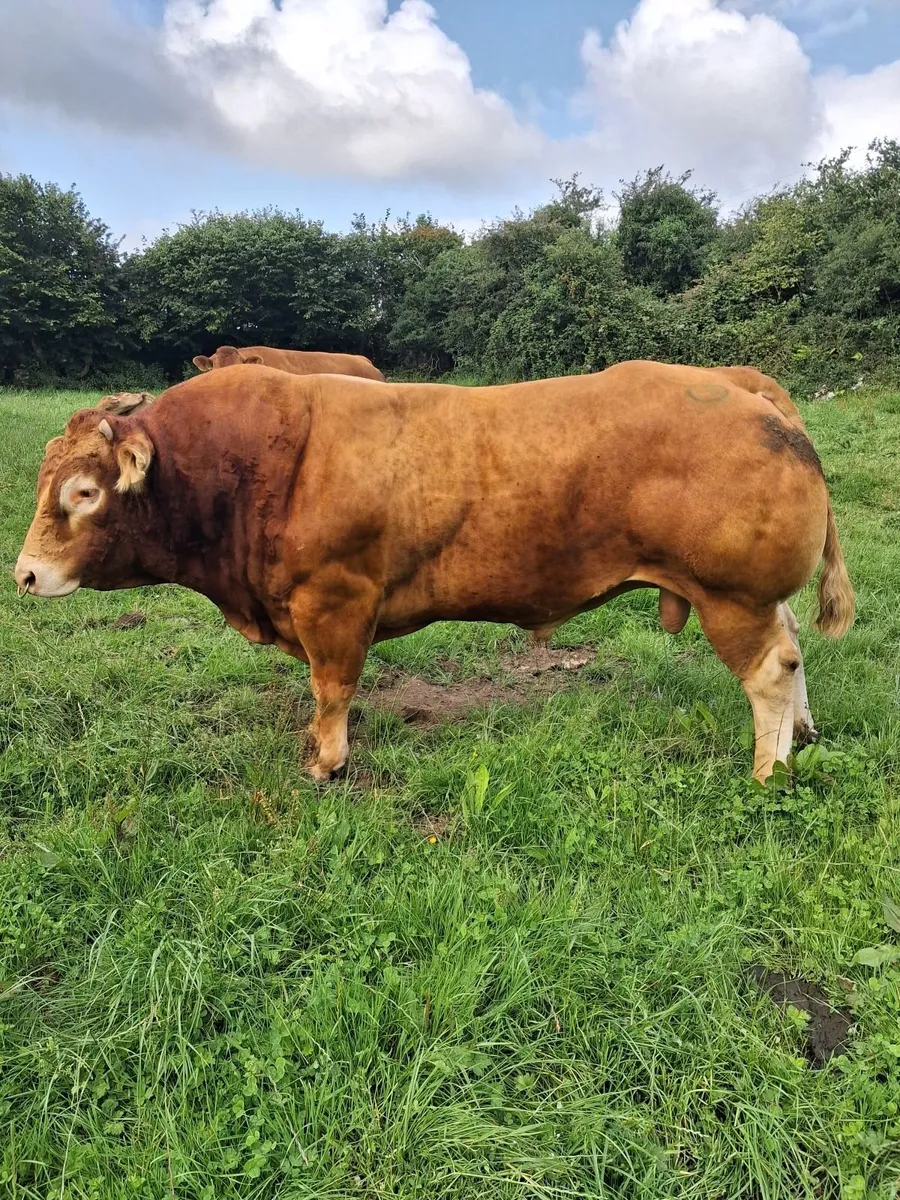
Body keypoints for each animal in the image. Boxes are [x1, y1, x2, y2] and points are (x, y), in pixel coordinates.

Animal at [14, 360, 854, 784]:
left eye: (83, 492)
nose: (22, 574)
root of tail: (741, 383)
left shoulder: (334, 599)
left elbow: (332, 687)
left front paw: (326, 761)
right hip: (750, 596)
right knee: (792, 651)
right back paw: (803, 735)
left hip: (730, 595)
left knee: (770, 669)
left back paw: (768, 768)